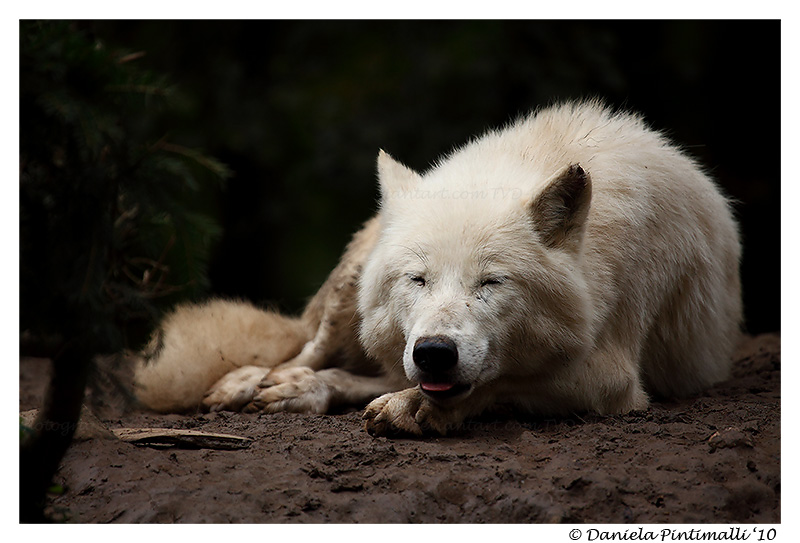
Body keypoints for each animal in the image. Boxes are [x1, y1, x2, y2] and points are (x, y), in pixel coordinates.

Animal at [134, 102, 740, 438]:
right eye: (418, 279)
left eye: (492, 282)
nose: (433, 352)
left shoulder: (616, 379)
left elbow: (501, 380)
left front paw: (415, 408)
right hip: (353, 278)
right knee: (305, 351)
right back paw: (258, 382)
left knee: (368, 373)